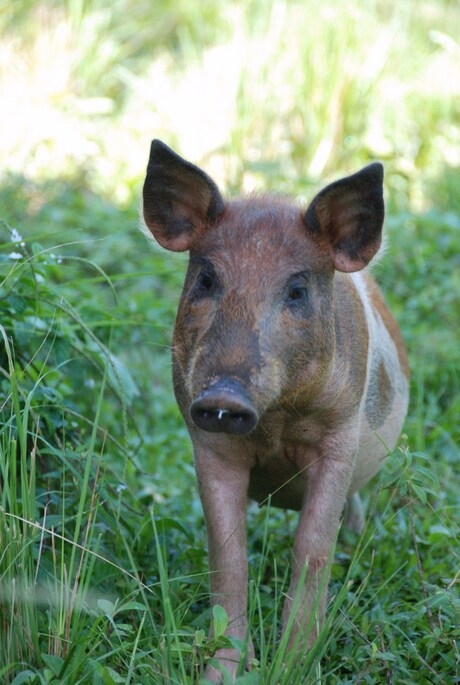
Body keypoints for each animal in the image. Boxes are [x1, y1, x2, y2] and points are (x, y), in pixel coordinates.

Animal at [141, 139, 410, 680]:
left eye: (297, 291)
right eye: (207, 279)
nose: (224, 396)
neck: (276, 424)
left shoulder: (339, 438)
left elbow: (312, 549)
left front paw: (292, 666)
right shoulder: (208, 442)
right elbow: (228, 556)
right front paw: (222, 674)